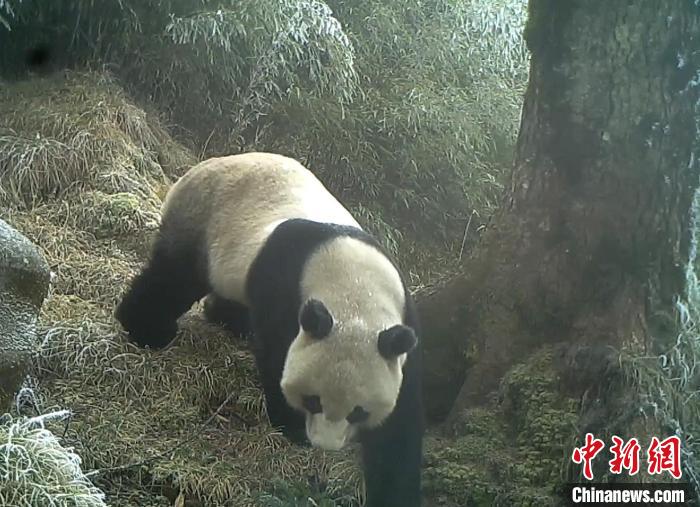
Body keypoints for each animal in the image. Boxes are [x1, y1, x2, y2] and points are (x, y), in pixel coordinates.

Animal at [115, 152, 424, 507]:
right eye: (313, 401)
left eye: (359, 412)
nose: (324, 445)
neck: (355, 292)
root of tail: (205, 165)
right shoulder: (284, 280)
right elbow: (276, 351)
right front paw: (290, 424)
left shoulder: (402, 326)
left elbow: (401, 420)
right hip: (204, 219)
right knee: (174, 277)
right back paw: (146, 328)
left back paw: (226, 318)